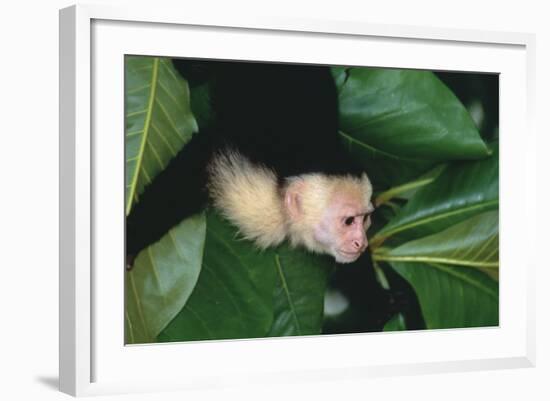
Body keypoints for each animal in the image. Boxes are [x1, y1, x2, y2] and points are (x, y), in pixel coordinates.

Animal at [126, 60, 376, 266]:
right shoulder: (255, 193)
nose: (361, 243)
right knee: (194, 71)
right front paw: (132, 236)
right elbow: (202, 155)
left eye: (365, 219)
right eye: (348, 221)